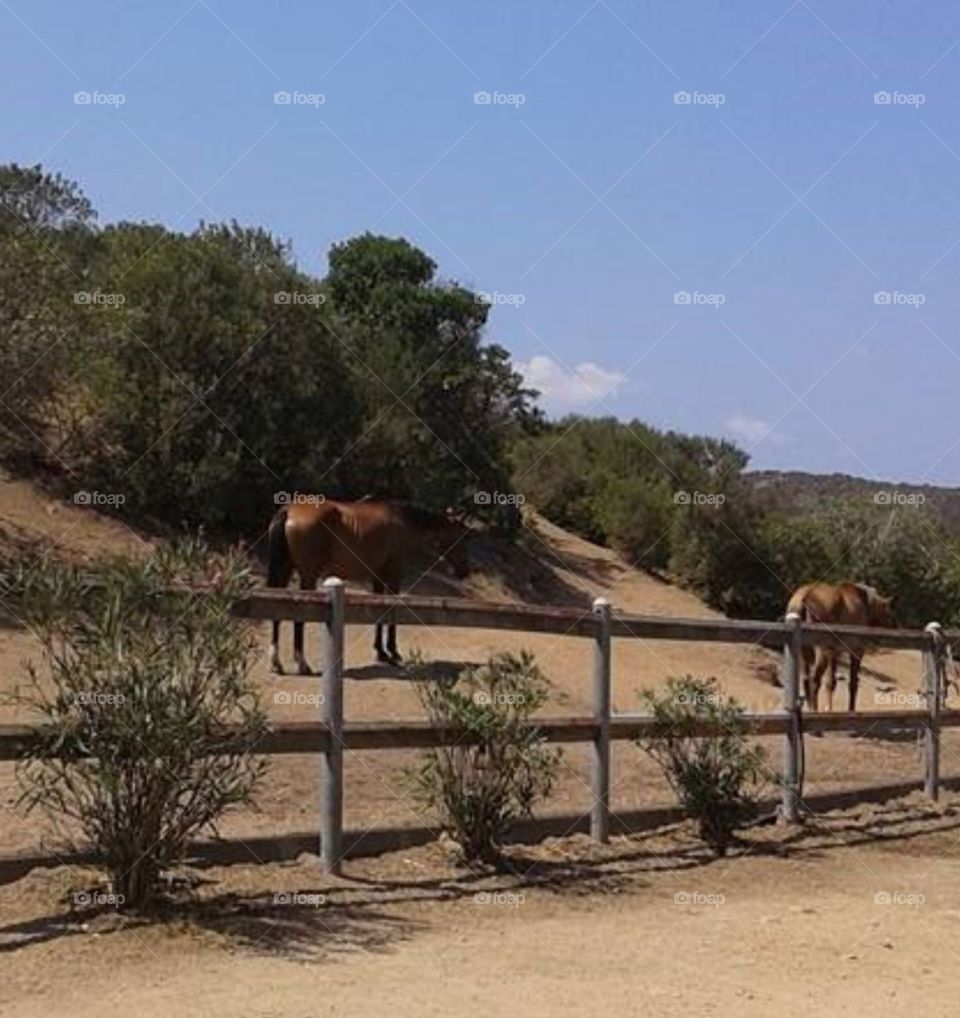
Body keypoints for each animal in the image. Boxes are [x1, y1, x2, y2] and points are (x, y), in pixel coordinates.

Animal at [266, 497, 469, 674]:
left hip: (284, 572)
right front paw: (393, 653)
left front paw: (381, 652)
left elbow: (380, 613)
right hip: (307, 576)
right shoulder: (394, 577)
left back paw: (276, 662)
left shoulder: (378, 579)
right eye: (461, 538)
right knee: (298, 617)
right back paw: (302, 663)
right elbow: (391, 612)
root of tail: (289, 511)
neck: (403, 522)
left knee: (277, 613)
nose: (464, 571)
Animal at [785, 581, 894, 712]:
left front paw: (828, 708)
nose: (891, 628)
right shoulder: (856, 651)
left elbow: (831, 683)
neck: (867, 606)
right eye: (888, 613)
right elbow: (853, 683)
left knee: (806, 678)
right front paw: (850, 709)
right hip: (820, 649)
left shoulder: (835, 652)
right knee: (814, 679)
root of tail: (801, 601)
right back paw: (814, 710)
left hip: (805, 650)